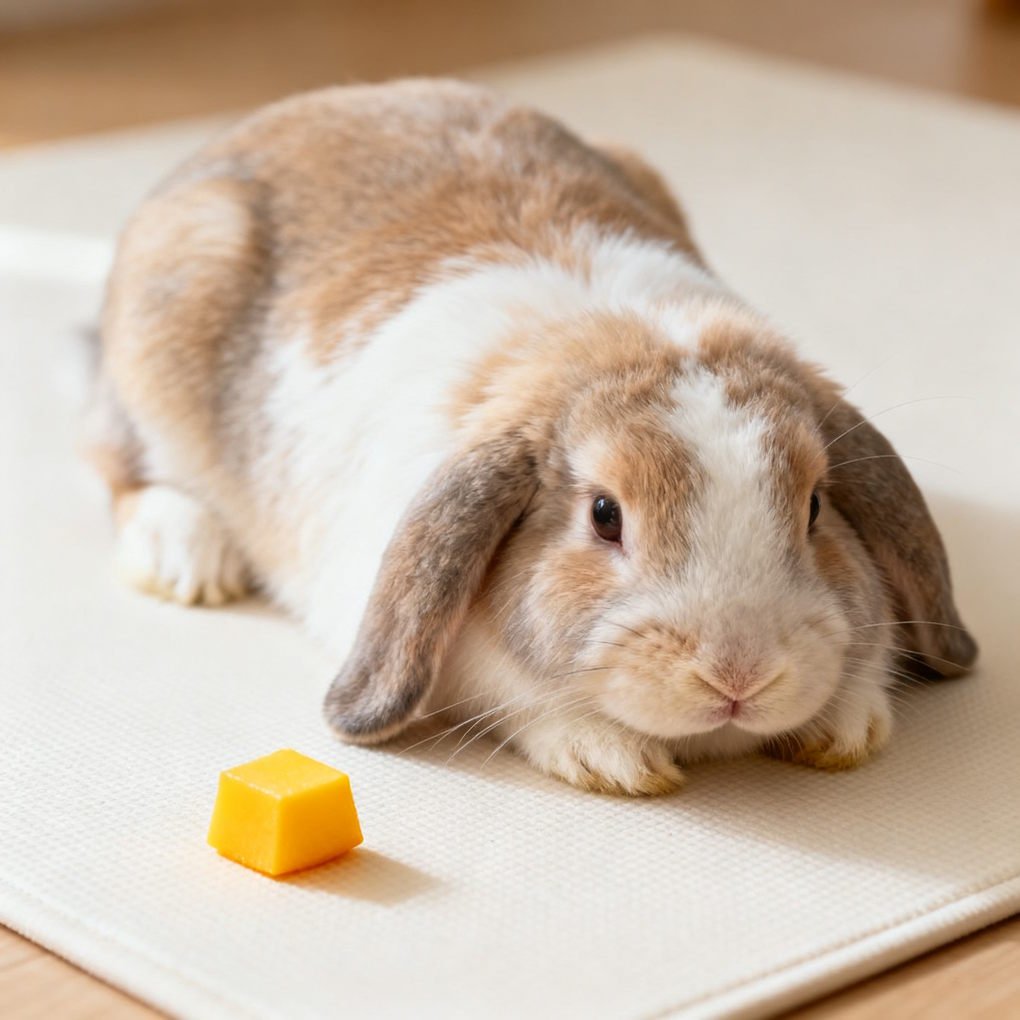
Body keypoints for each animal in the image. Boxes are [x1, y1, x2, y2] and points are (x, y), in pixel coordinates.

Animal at [83, 78, 977, 795]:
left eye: (817, 508)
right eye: (604, 516)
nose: (739, 675)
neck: (613, 342)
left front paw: (846, 726)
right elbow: (508, 690)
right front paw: (611, 758)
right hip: (160, 341)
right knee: (117, 463)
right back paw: (188, 556)